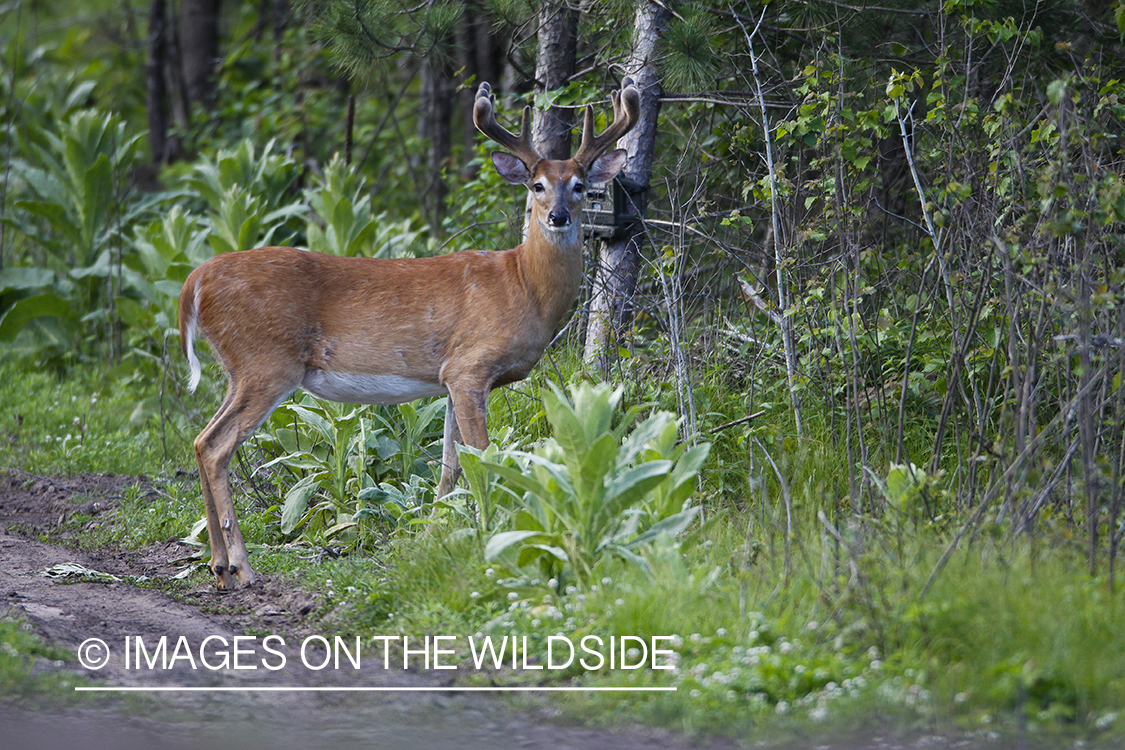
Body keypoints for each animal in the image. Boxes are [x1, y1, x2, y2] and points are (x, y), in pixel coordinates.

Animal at [173, 79, 634, 589]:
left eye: (579, 186)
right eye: (537, 185)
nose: (558, 216)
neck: (524, 286)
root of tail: (195, 282)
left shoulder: (451, 379)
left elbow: (451, 469)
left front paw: (432, 537)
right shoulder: (471, 366)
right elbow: (486, 460)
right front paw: (497, 536)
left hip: (241, 369)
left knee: (200, 440)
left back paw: (218, 567)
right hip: (267, 362)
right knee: (216, 446)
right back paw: (242, 566)